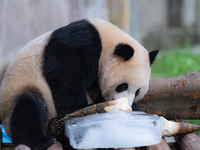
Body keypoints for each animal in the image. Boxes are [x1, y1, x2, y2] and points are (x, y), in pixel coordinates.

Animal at [0, 18, 158, 149]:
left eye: (138, 91)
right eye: (123, 86)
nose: (127, 105)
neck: (105, 41)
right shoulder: (78, 44)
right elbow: (66, 76)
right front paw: (77, 109)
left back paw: (56, 127)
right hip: (21, 88)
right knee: (28, 108)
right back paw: (42, 139)